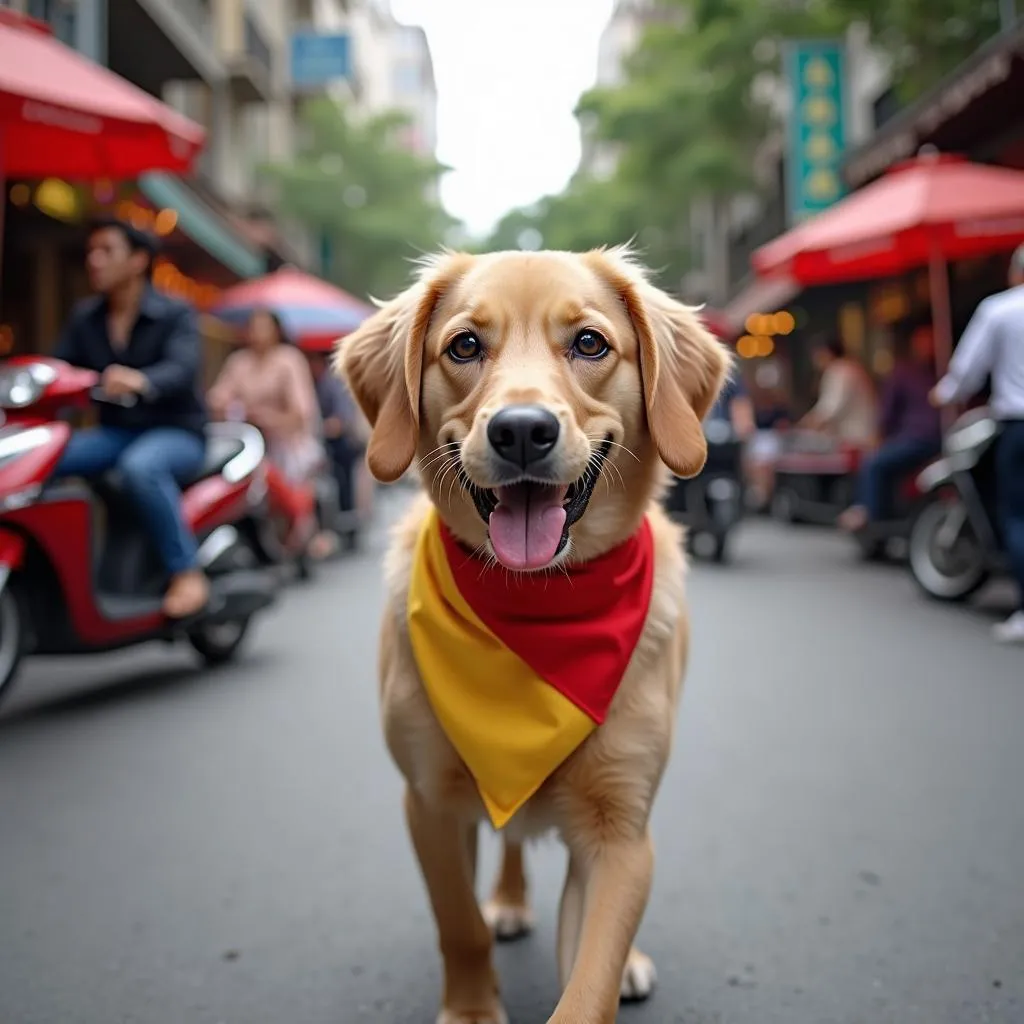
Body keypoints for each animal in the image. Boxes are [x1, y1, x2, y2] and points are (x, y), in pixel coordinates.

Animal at [335, 243, 729, 1019]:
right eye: (464, 346)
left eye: (590, 343)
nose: (521, 429)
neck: (539, 610)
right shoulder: (429, 802)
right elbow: (459, 923)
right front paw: (470, 1007)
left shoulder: (619, 832)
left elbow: (589, 980)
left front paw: (613, 966)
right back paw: (510, 900)